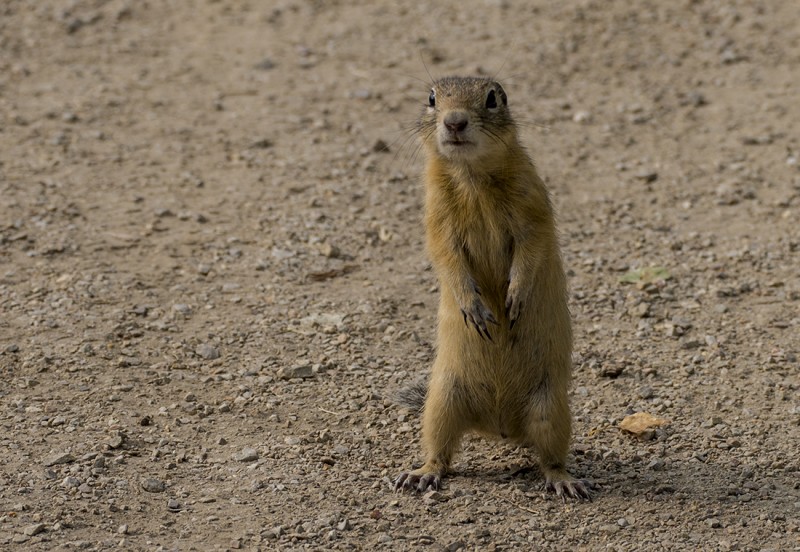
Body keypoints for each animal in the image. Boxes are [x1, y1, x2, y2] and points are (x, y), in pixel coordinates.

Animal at [396, 74, 592, 500]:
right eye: (431, 98)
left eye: (492, 98)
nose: (454, 122)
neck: (472, 176)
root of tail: (499, 426)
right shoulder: (436, 218)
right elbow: (447, 259)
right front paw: (476, 309)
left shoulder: (533, 205)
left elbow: (531, 247)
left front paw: (514, 299)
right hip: (440, 404)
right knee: (440, 452)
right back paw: (420, 475)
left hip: (551, 409)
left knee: (550, 458)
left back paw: (565, 481)